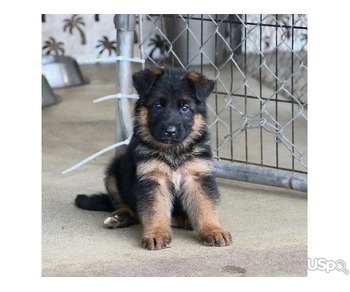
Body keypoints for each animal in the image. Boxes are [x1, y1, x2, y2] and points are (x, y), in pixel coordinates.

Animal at [74, 67, 232, 250]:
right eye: (158, 105)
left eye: (185, 108)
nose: (170, 131)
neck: (173, 151)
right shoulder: (153, 179)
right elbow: (154, 209)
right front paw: (156, 233)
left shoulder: (197, 176)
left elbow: (205, 205)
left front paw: (213, 230)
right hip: (114, 171)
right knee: (128, 207)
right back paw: (120, 217)